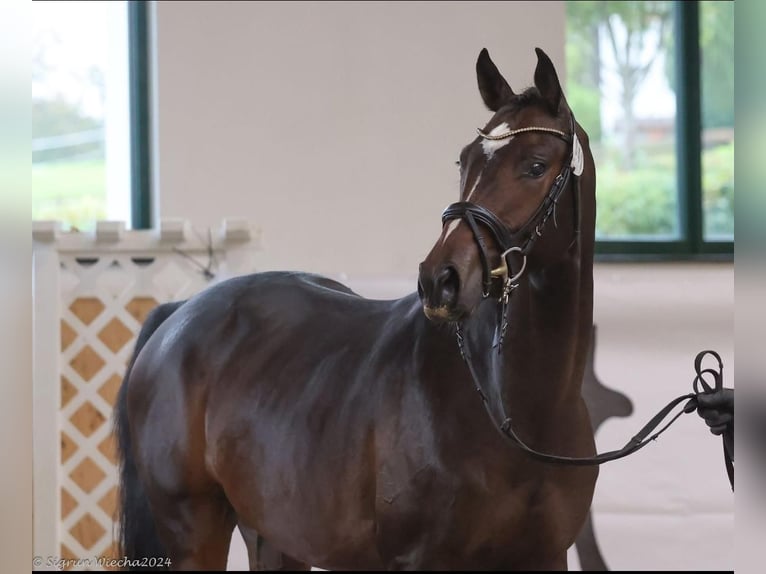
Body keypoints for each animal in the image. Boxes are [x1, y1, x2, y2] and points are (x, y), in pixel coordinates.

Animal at [115, 47, 598, 571]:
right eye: (465, 161)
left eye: (535, 166)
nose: (440, 280)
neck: (517, 406)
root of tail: (178, 315)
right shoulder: (417, 559)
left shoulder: (547, 555)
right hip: (193, 530)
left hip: (276, 536)